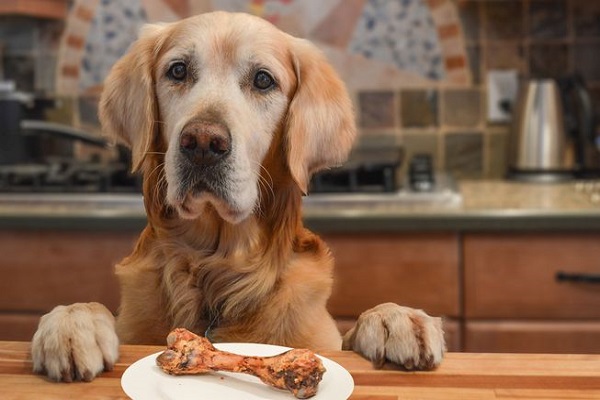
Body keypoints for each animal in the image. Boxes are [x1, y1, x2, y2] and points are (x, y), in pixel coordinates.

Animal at [32, 11, 446, 382]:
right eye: (177, 71)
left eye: (263, 80)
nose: (202, 143)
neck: (217, 269)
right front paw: (72, 322)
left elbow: (353, 329)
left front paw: (394, 318)